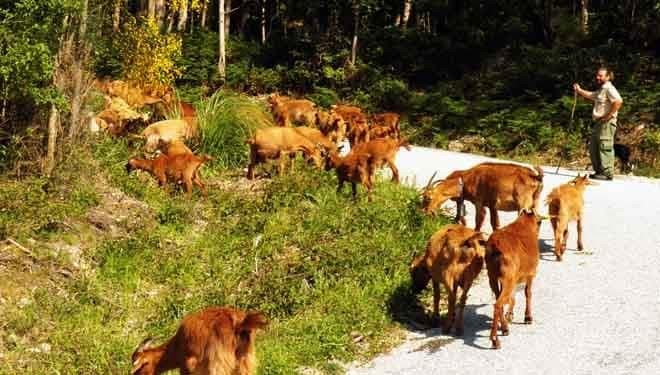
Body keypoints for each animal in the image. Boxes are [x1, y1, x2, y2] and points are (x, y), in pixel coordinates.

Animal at [484, 210, 540, 352]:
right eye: (540, 222)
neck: (524, 224)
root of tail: (495, 247)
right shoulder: (531, 274)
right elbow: (528, 293)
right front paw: (528, 317)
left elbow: (512, 298)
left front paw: (510, 315)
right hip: (507, 278)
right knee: (498, 304)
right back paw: (495, 340)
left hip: (493, 277)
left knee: (499, 299)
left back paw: (504, 327)